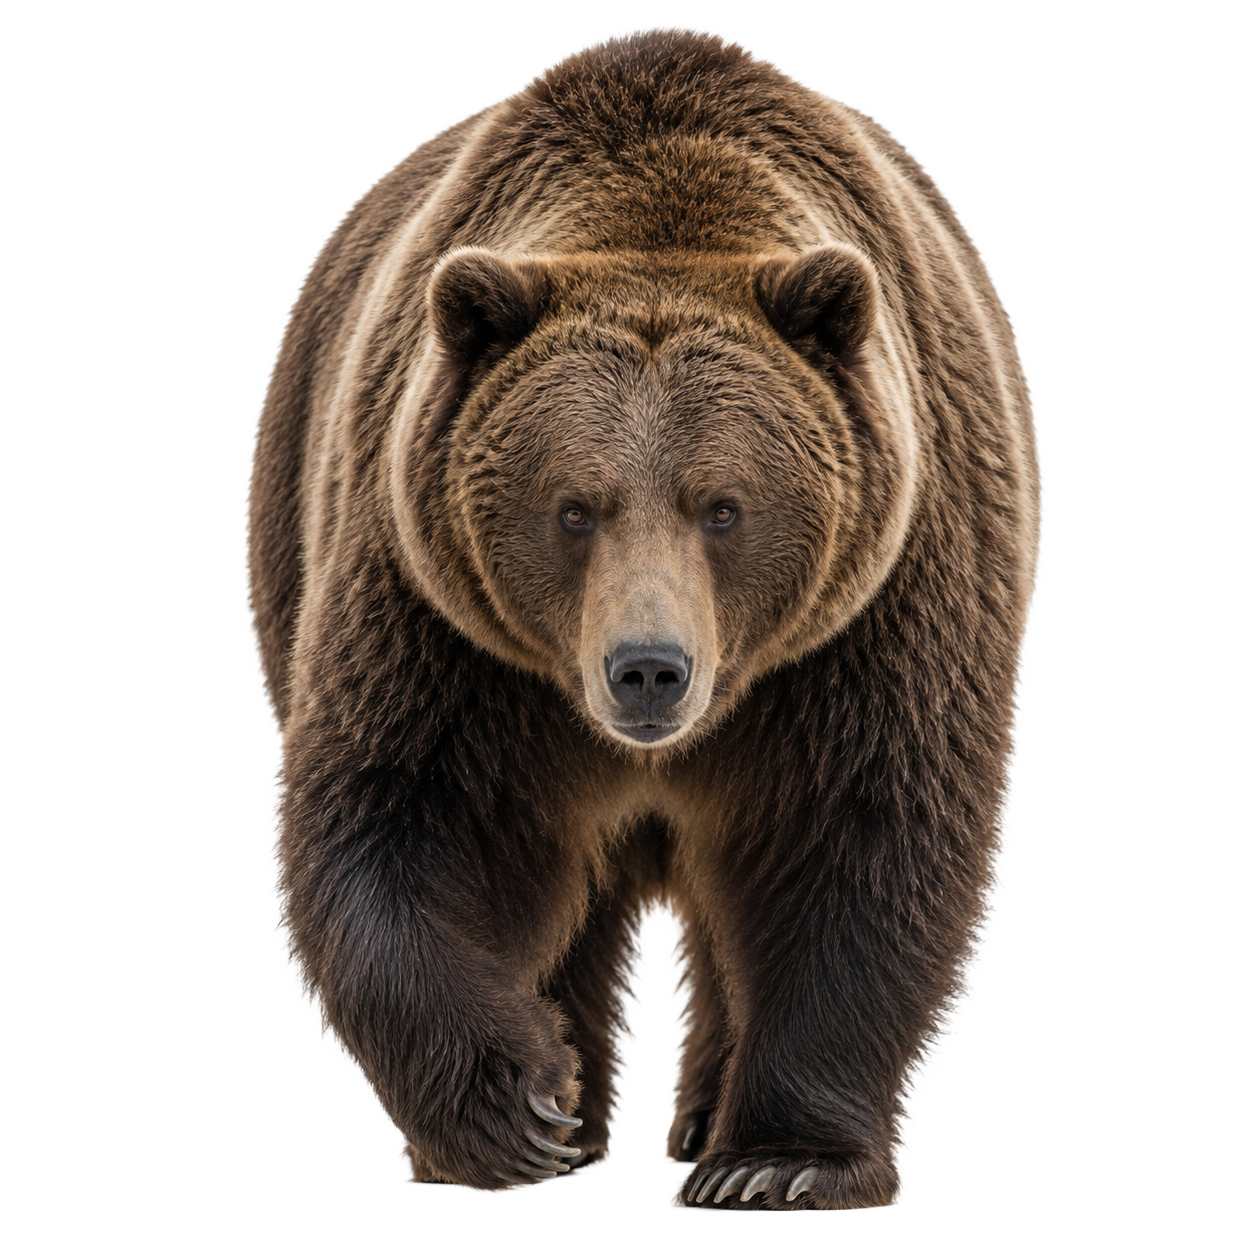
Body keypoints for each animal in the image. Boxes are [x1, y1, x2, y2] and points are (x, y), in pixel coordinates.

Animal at [248, 27, 1039, 1210]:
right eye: (574, 507)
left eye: (724, 504)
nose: (649, 670)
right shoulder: (446, 622)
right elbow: (406, 816)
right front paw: (517, 1107)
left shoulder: (873, 615)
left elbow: (859, 838)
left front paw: (777, 1161)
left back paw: (706, 1117)